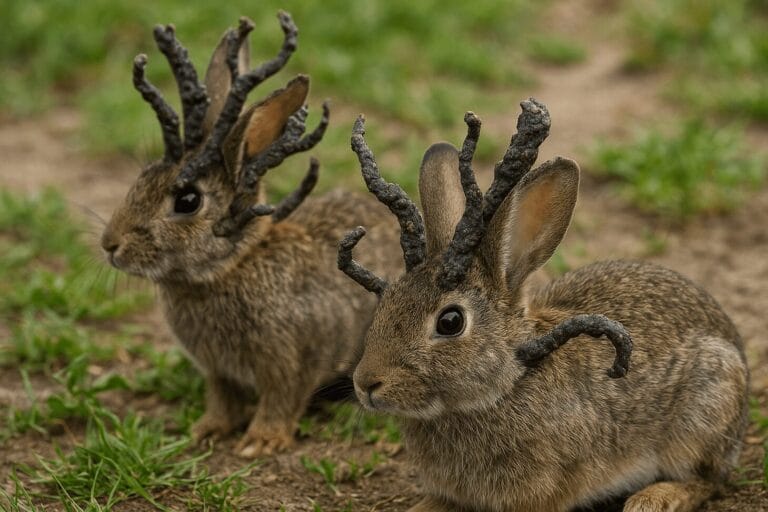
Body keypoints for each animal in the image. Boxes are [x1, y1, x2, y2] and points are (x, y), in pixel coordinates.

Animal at [100, 13, 401, 458]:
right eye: (142, 178)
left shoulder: (291, 361)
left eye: (187, 200)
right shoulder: (218, 371)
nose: (110, 245)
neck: (229, 268)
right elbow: (222, 399)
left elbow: (281, 399)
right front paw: (207, 431)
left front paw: (259, 442)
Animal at [338, 99, 749, 511]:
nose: (366, 383)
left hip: (704, 413)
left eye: (450, 322)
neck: (506, 384)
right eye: (386, 303)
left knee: (707, 479)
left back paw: (654, 498)